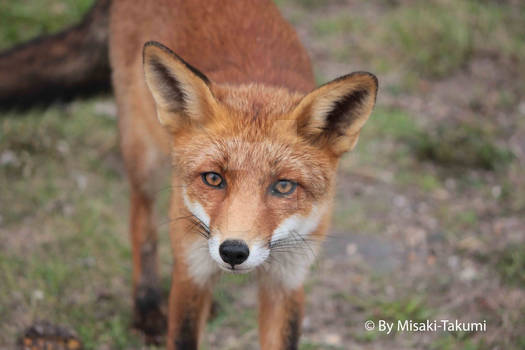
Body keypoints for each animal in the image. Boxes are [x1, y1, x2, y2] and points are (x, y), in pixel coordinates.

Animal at [0, 0, 376, 348]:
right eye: (213, 178)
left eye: (283, 186)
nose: (233, 252)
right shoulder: (191, 272)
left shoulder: (287, 281)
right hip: (144, 157)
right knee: (141, 226)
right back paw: (147, 305)